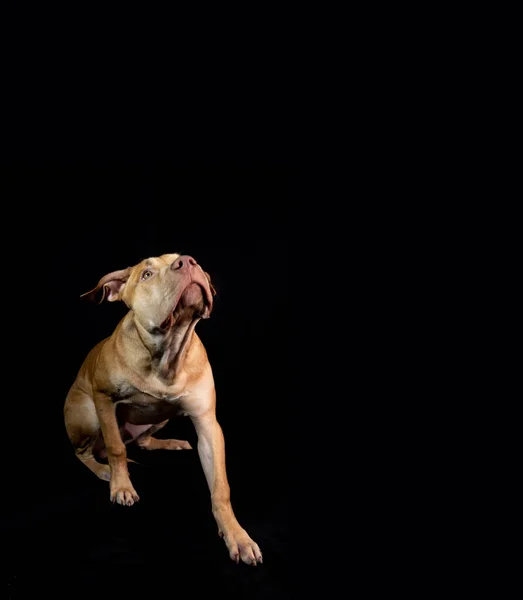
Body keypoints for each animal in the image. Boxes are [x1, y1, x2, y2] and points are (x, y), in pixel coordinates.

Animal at [64, 253, 264, 568]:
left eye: (185, 258)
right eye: (146, 274)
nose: (187, 262)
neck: (167, 351)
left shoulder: (208, 425)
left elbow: (221, 487)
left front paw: (236, 535)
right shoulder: (104, 398)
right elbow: (116, 448)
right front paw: (121, 486)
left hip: (160, 418)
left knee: (143, 441)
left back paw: (169, 443)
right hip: (87, 413)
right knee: (86, 452)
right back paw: (104, 470)